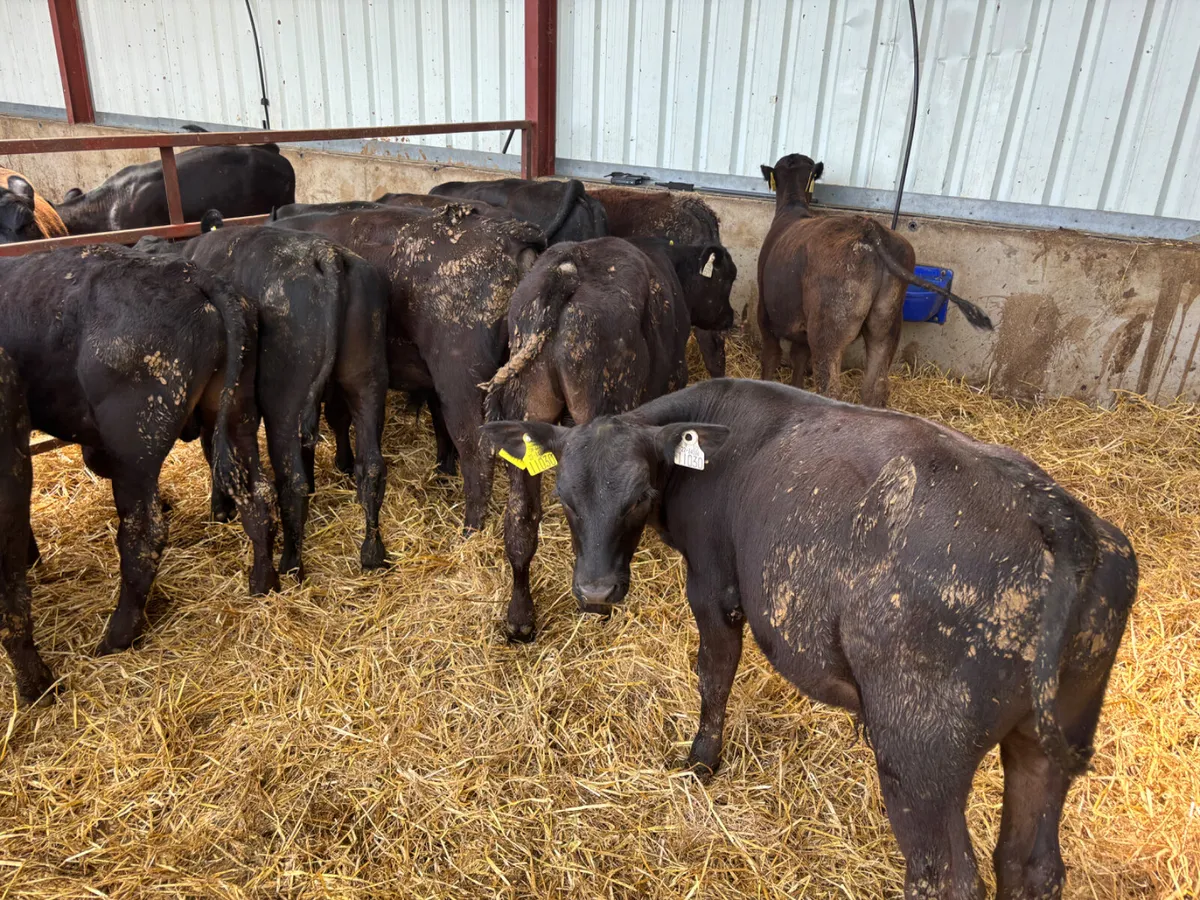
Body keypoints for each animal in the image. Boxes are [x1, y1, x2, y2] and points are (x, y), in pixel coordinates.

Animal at [0, 244, 278, 659]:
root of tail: (189, 274)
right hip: (237, 414)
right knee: (257, 496)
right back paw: (264, 583)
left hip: (134, 446)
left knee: (142, 535)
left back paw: (115, 638)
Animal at [136, 217, 390, 577]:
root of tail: (326, 254)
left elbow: (212, 451)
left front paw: (220, 509)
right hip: (366, 382)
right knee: (371, 467)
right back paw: (372, 553)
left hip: (283, 403)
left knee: (292, 481)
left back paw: (290, 562)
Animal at [483, 377, 1136, 900]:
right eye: (564, 498)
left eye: (641, 497)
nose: (595, 592)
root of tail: (1059, 519)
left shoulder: (715, 586)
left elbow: (714, 674)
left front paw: (701, 761)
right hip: (1046, 739)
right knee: (1030, 866)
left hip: (921, 756)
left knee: (946, 879)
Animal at [758, 154, 993, 407]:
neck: (793, 206)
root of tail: (870, 228)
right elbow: (798, 358)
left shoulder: (765, 311)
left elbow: (772, 355)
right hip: (887, 324)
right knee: (876, 386)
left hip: (828, 328)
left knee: (831, 388)